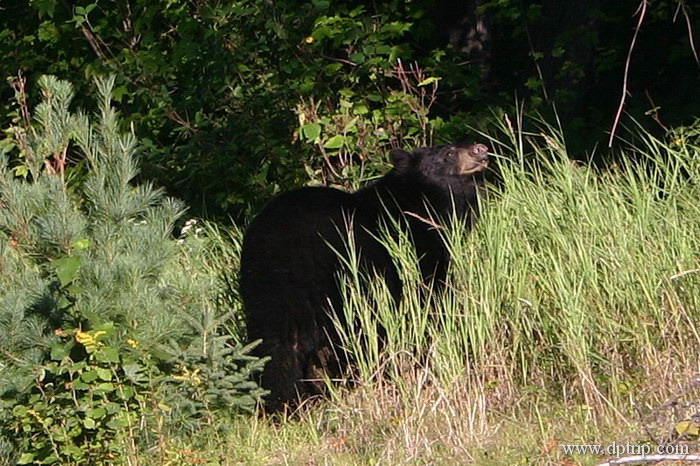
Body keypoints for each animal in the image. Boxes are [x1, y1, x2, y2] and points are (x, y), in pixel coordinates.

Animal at [238, 143, 490, 412]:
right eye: (448, 153)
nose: (481, 149)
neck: (420, 202)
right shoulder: (413, 249)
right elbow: (427, 297)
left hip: (262, 291)